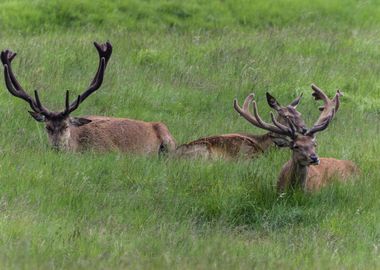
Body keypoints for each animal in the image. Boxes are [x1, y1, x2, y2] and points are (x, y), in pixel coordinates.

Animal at [0, 40, 176, 154]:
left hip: (169, 143)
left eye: (66, 126)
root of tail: (158, 124)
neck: (79, 145)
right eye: (47, 127)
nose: (56, 148)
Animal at [174, 93, 308, 160]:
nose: (305, 129)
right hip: (204, 152)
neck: (264, 145)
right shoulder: (248, 156)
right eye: (287, 116)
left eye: (300, 114)